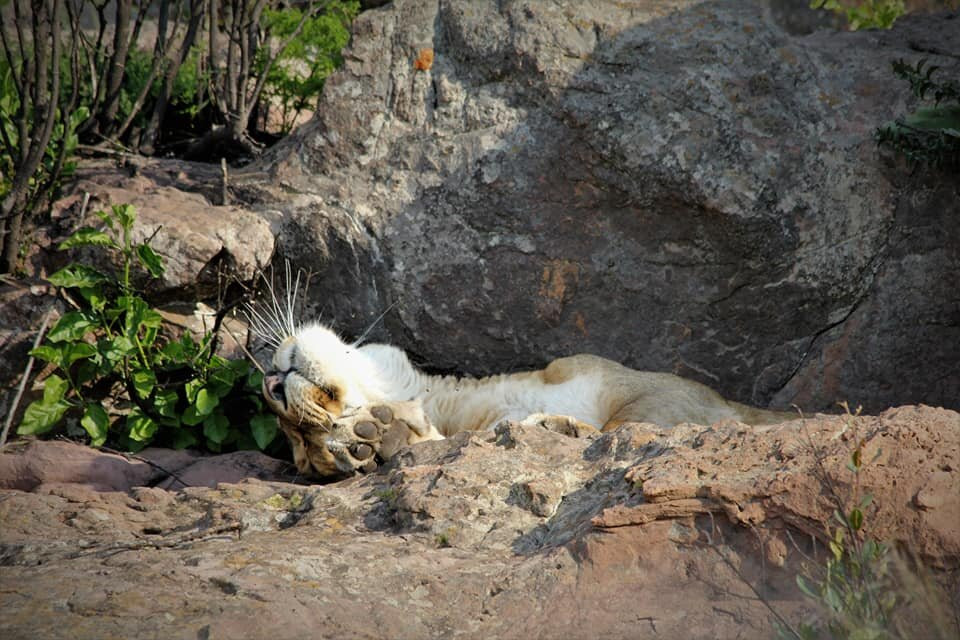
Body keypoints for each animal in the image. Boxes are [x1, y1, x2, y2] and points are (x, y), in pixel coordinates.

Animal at [260, 323, 793, 478]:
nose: (274, 388)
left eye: (298, 431)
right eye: (307, 443)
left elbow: (628, 424)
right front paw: (375, 440)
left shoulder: (660, 392)